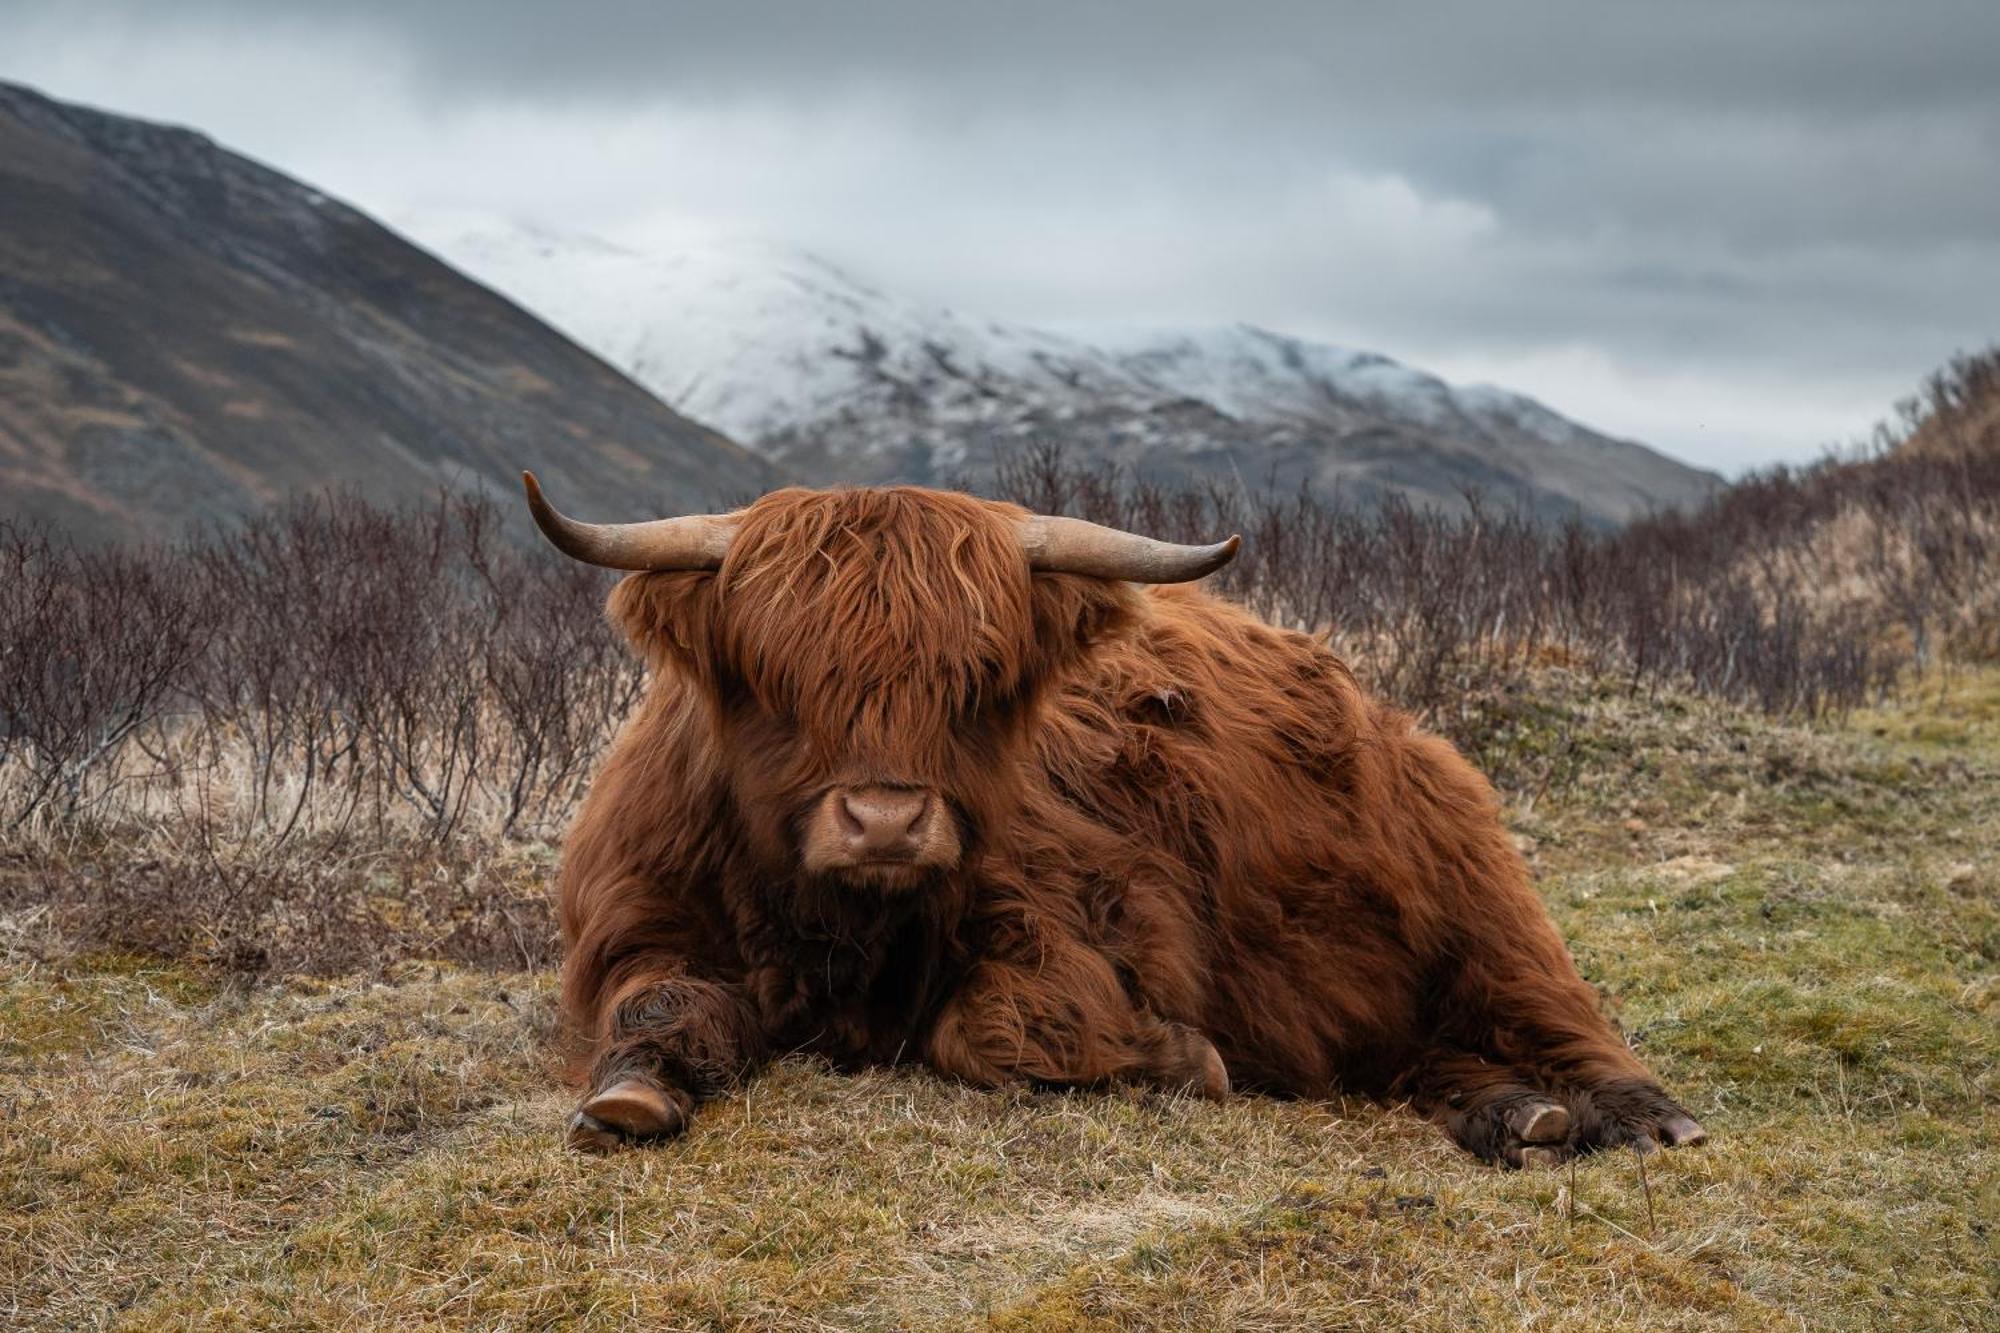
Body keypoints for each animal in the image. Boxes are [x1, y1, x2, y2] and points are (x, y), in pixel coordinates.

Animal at [528, 470, 1704, 1160]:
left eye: (978, 681)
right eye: (776, 678)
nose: (885, 822)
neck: (839, 929)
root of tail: (1383, 714)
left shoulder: (1094, 920)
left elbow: (990, 1025)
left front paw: (1182, 1057)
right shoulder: (638, 922)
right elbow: (656, 1001)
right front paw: (631, 1094)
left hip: (1481, 903)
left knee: (1552, 1011)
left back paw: (1632, 1115)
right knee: (1423, 1058)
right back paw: (1515, 1115)